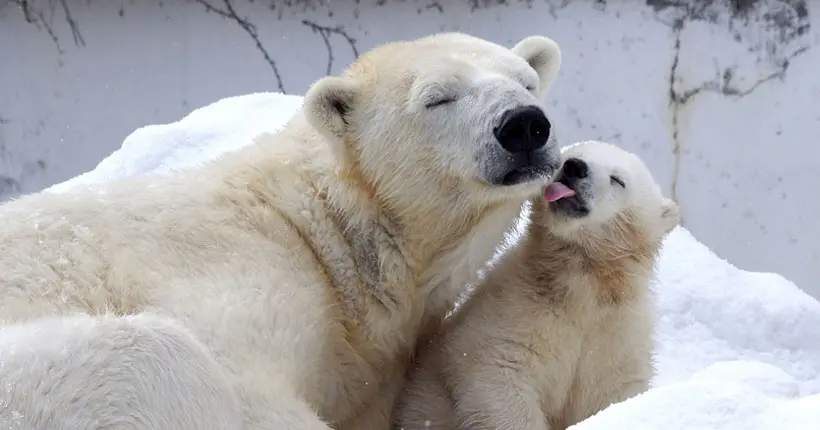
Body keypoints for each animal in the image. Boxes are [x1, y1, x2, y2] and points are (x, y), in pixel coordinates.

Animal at [0, 32, 564, 430]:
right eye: (438, 98)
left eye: (525, 81)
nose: (523, 125)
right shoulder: (236, 271)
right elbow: (246, 384)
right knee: (156, 358)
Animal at [390, 141, 680, 430]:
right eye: (569, 155)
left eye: (618, 180)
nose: (574, 167)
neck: (585, 283)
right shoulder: (516, 311)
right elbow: (498, 372)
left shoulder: (616, 337)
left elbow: (610, 394)